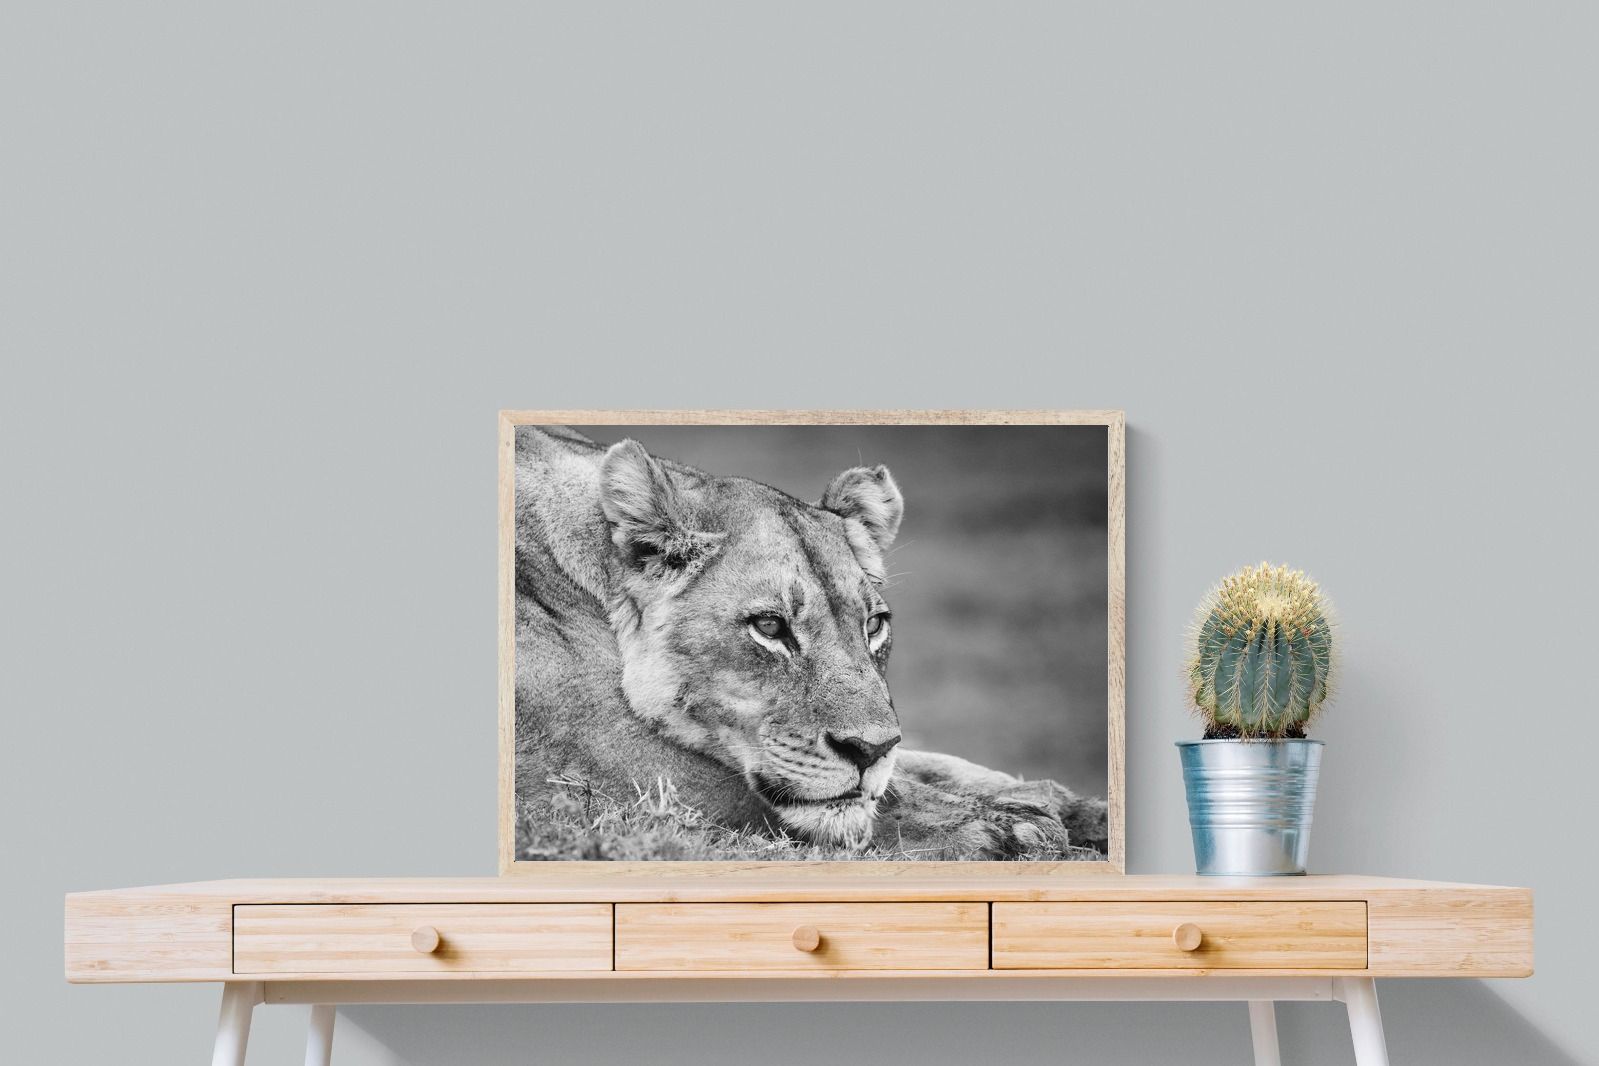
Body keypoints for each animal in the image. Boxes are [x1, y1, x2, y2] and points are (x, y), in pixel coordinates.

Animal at [514, 425, 1108, 859]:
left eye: (874, 625)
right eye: (770, 627)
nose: (868, 751)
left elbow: (928, 764)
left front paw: (1072, 807)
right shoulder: (609, 762)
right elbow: (867, 799)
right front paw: (1007, 827)